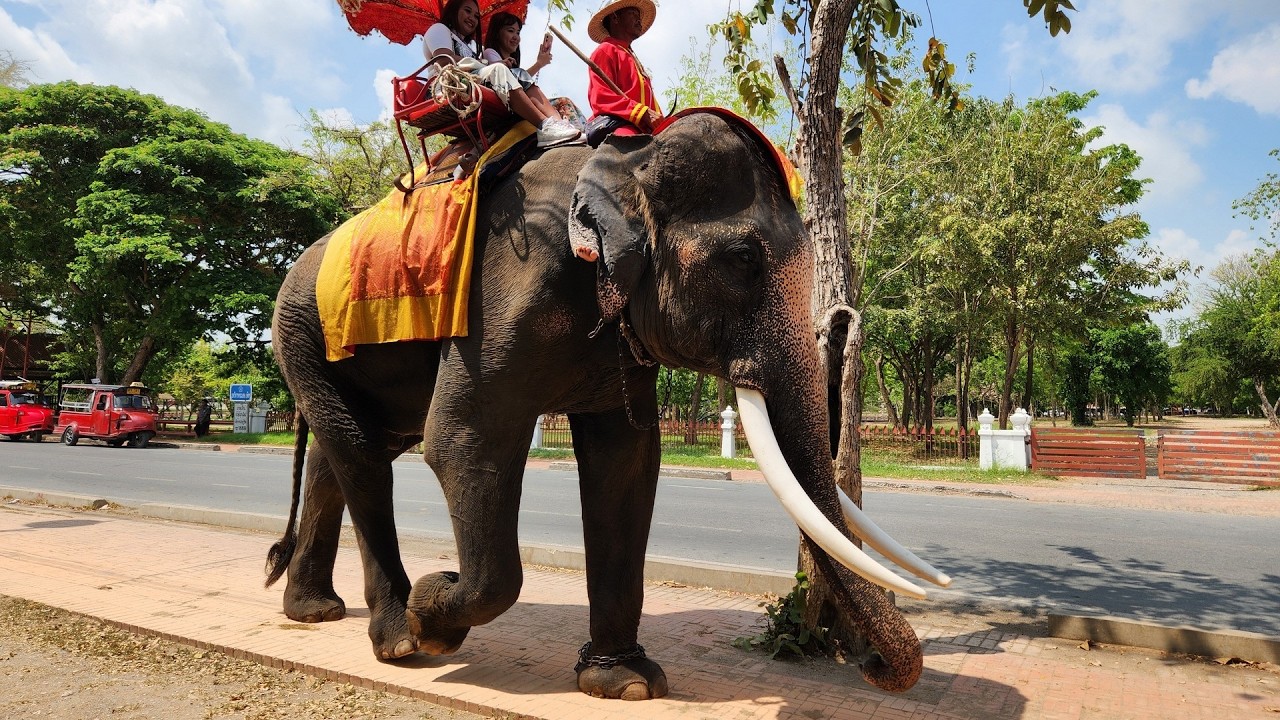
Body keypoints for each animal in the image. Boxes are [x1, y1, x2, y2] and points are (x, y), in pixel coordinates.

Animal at [264, 111, 950, 700]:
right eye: (741, 262)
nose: (869, 663)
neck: (627, 158)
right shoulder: (511, 284)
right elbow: (464, 438)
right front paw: (435, 611)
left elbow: (626, 461)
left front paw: (624, 683)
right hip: (299, 334)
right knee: (360, 456)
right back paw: (399, 640)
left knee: (344, 453)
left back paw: (315, 611)